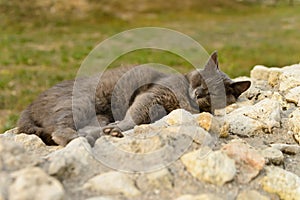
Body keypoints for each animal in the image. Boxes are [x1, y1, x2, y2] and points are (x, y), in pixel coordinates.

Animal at [17, 51, 251, 145]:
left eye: (214, 92)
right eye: (201, 80)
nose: (199, 93)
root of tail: (28, 107)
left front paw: (114, 129)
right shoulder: (152, 95)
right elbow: (134, 116)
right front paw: (120, 126)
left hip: (97, 113)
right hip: (81, 102)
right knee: (59, 130)